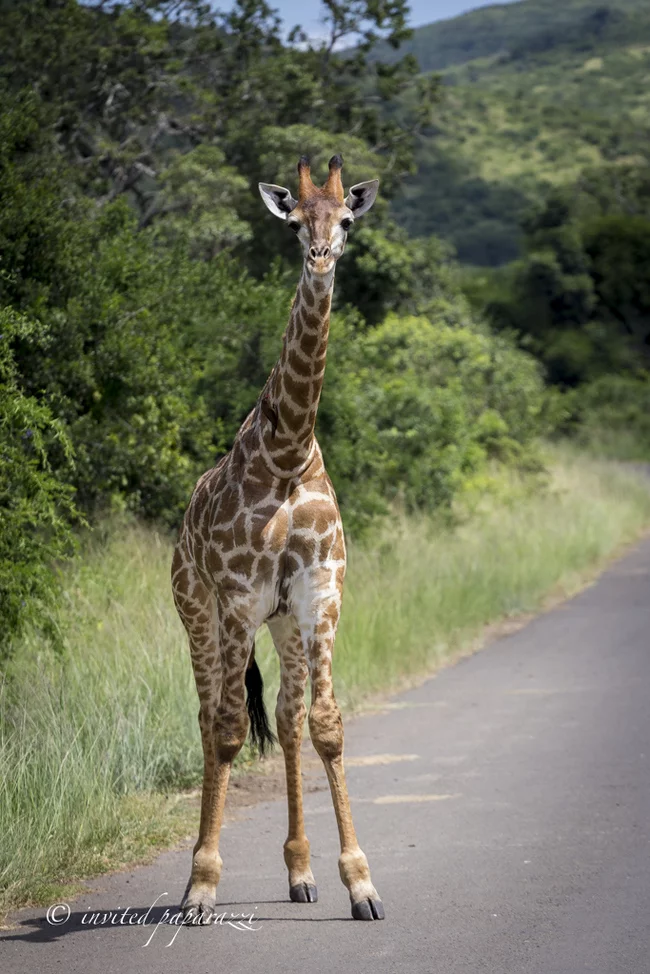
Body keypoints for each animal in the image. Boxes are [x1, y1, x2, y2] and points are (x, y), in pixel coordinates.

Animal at [172, 152, 382, 924]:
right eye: (294, 223)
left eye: (346, 219)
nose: (320, 258)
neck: (287, 454)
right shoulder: (236, 597)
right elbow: (233, 728)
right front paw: (203, 885)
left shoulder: (320, 592)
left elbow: (324, 725)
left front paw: (359, 883)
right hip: (197, 612)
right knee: (211, 719)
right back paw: (200, 877)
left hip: (285, 622)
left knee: (288, 720)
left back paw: (300, 871)